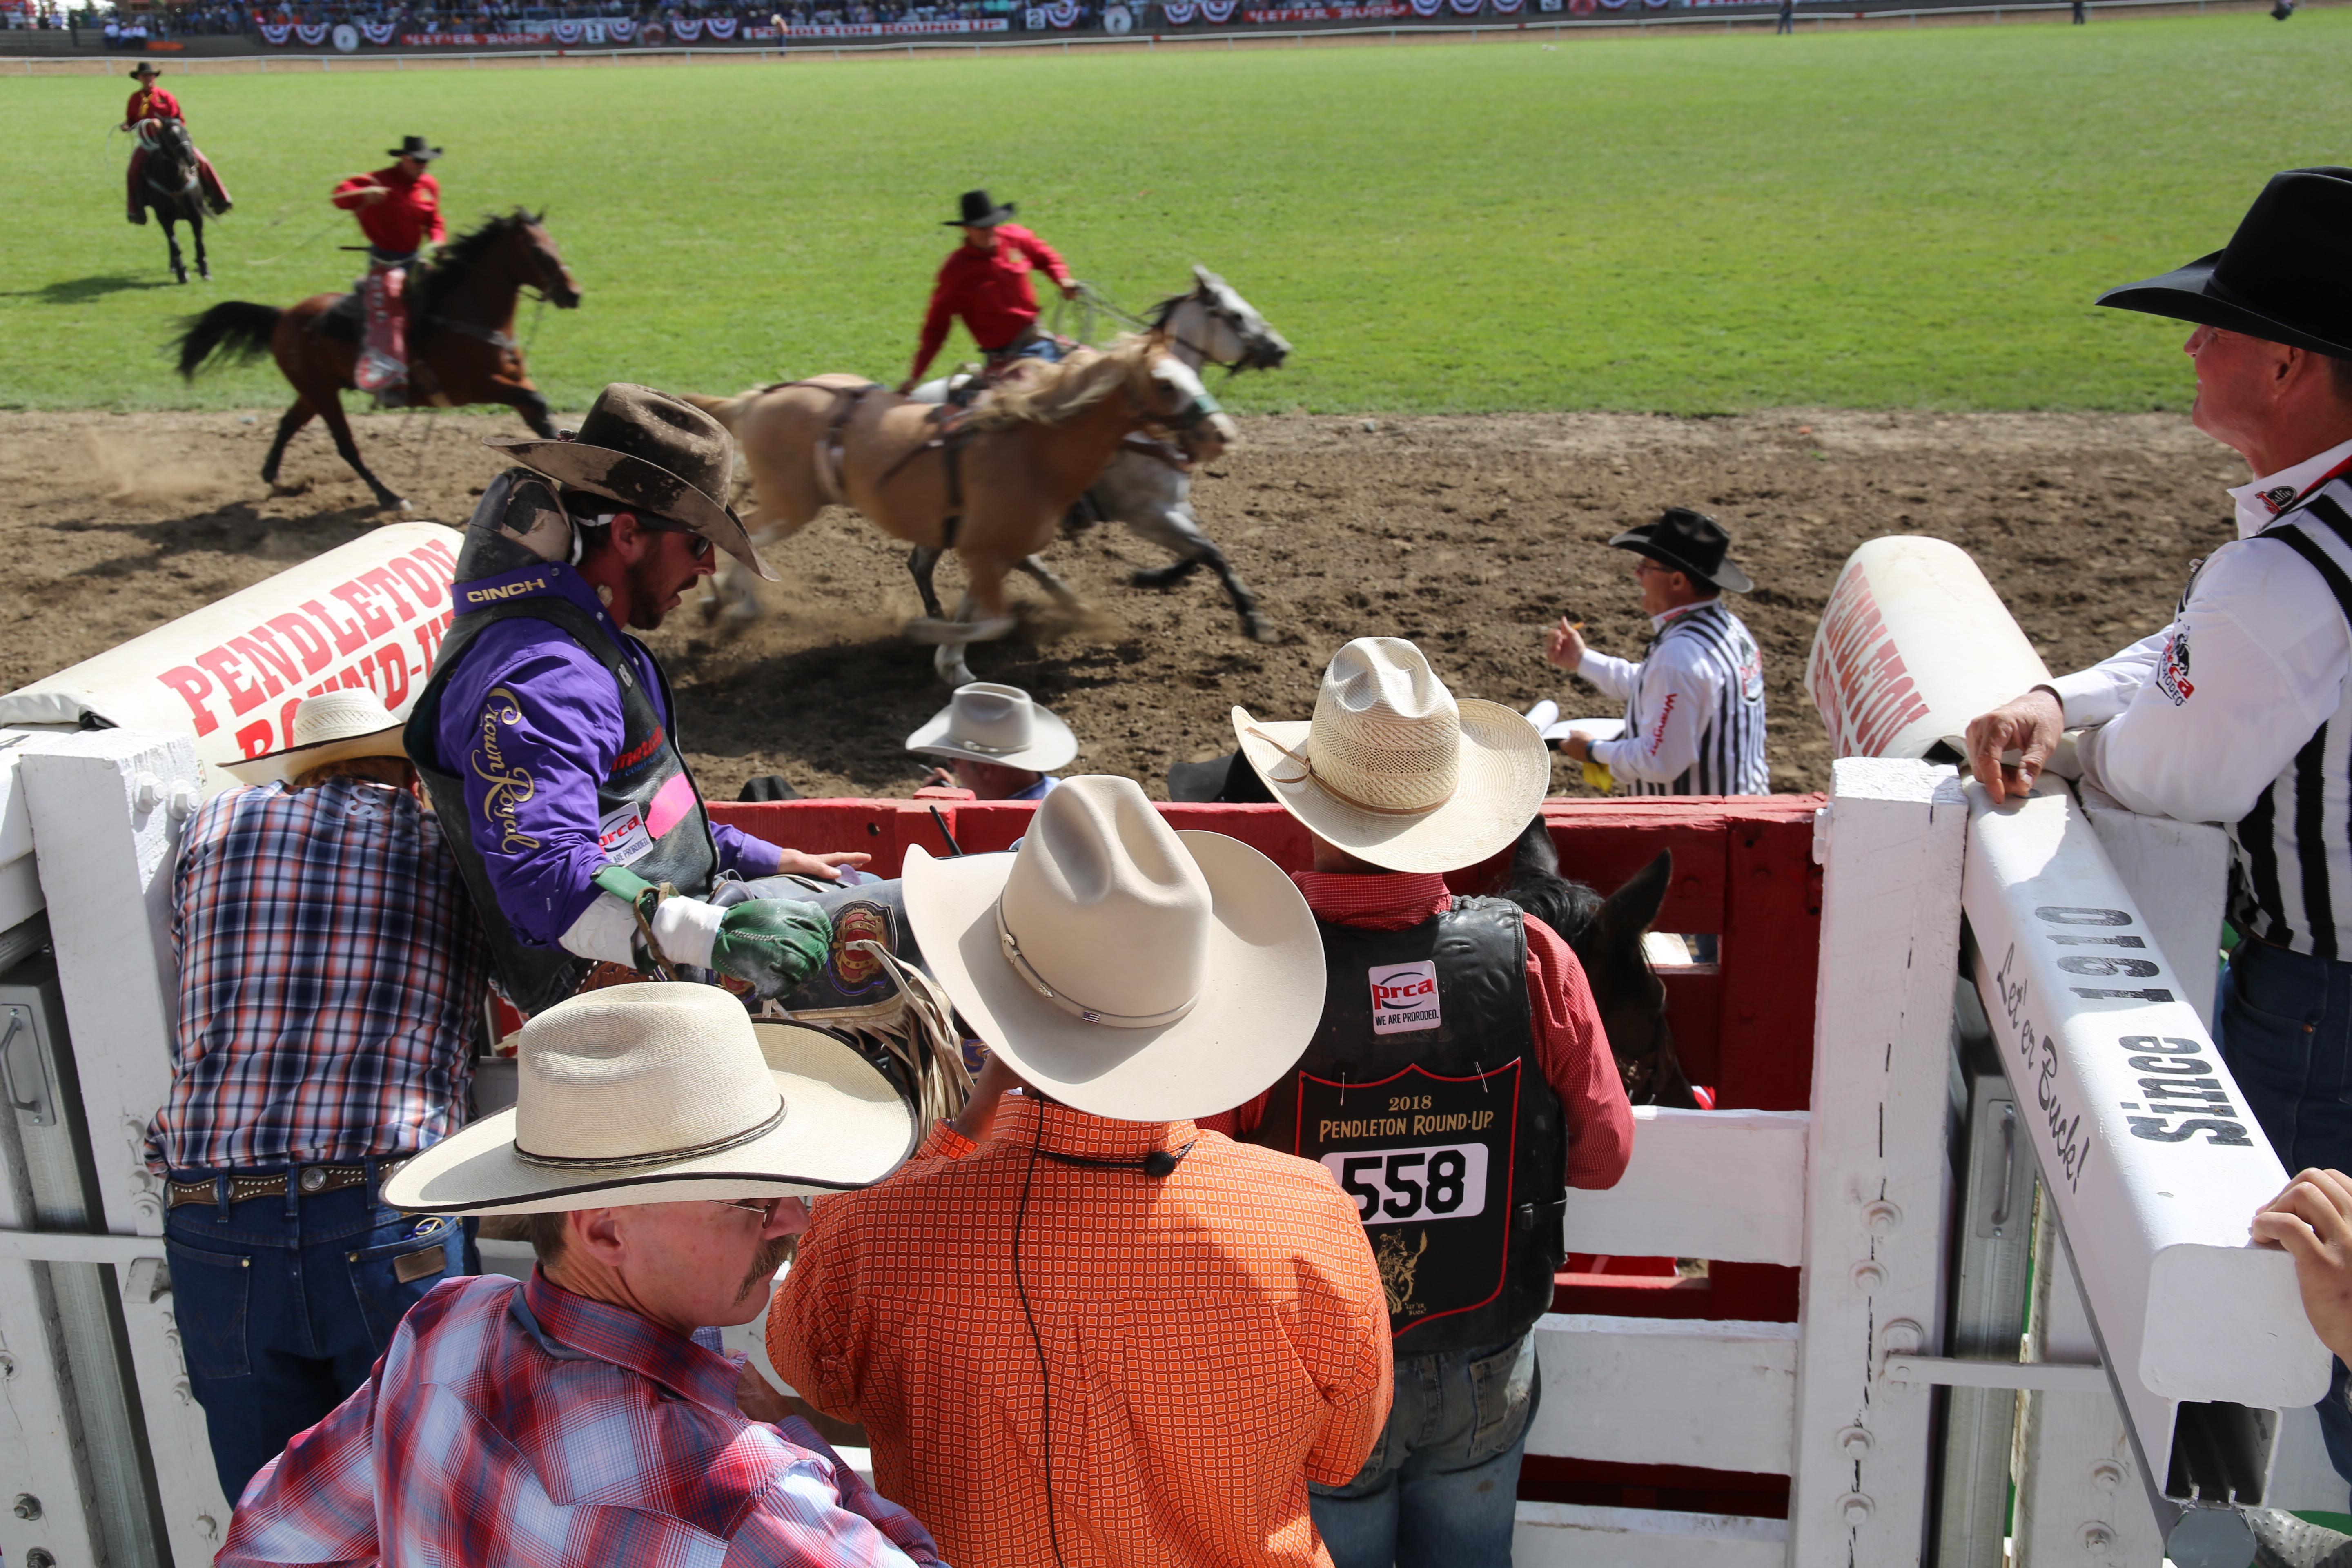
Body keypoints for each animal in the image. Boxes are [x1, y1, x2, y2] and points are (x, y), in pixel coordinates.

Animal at [134, 120, 214, 288]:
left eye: (186, 132)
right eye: (171, 137)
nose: (191, 159)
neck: (175, 181)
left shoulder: (196, 216)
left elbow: (199, 241)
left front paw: (205, 270)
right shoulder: (164, 218)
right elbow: (174, 243)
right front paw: (182, 273)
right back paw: (174, 267)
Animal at [170, 208, 583, 512]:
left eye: (556, 246)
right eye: (539, 252)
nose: (574, 294)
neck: (468, 317)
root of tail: (283, 314)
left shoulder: (515, 385)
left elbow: (541, 418)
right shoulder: (476, 388)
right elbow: (536, 404)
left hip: (314, 389)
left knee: (289, 423)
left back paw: (272, 474)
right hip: (323, 393)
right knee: (345, 445)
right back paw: (390, 496)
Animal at [682, 339, 1242, 686]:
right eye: (1166, 384)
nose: (1222, 435)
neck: (1034, 450)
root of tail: (758, 399)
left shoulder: (990, 553)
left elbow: (979, 614)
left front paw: (954, 666)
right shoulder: (985, 552)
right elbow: (995, 622)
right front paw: (927, 635)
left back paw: (729, 604)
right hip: (791, 504)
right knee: (744, 537)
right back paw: (734, 604)